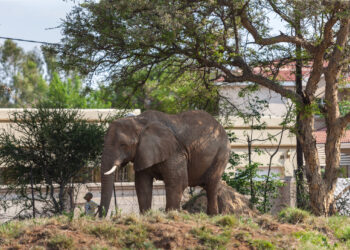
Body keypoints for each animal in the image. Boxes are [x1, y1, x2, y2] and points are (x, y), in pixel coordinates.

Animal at [100, 110, 231, 216]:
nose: (100, 217)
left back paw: (212, 216)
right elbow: (142, 184)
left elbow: (177, 181)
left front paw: (171, 214)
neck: (139, 121)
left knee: (211, 185)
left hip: (221, 154)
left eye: (123, 145)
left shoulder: (175, 151)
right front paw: (146, 216)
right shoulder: (143, 153)